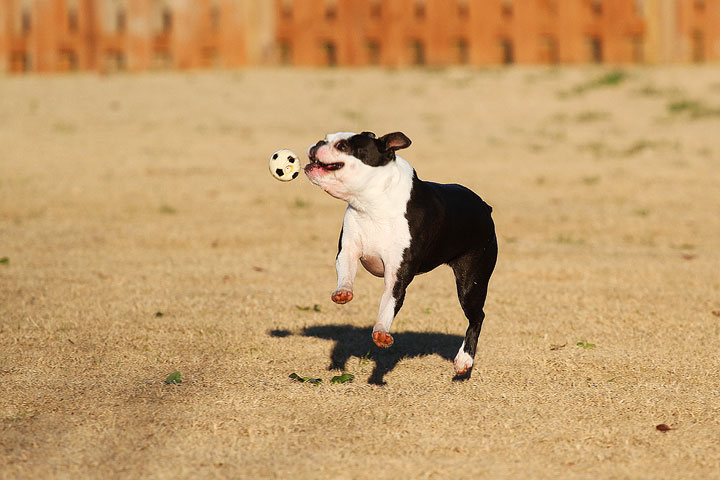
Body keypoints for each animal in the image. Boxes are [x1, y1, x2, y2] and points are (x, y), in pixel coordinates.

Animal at [302, 131, 496, 376]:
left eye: (342, 146)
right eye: (326, 138)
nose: (318, 143)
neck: (373, 205)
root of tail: (485, 207)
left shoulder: (397, 276)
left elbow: (389, 304)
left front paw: (381, 333)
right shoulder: (348, 250)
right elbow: (346, 272)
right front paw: (343, 292)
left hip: (472, 281)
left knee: (477, 317)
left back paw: (464, 360)